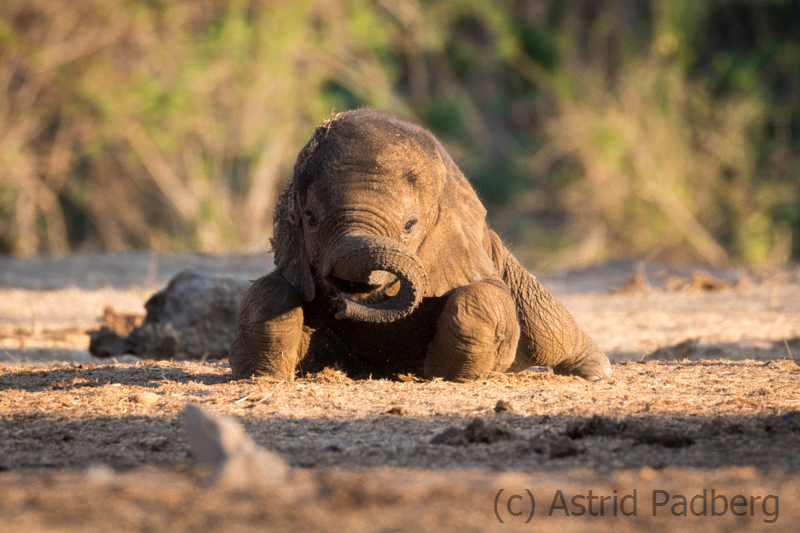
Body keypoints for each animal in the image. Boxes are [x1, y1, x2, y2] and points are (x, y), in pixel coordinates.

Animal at [231, 109, 612, 382]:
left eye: (410, 225)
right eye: (310, 218)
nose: (342, 304)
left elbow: (482, 297)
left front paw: (446, 375)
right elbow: (272, 291)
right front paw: (261, 374)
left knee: (549, 332)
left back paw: (596, 371)